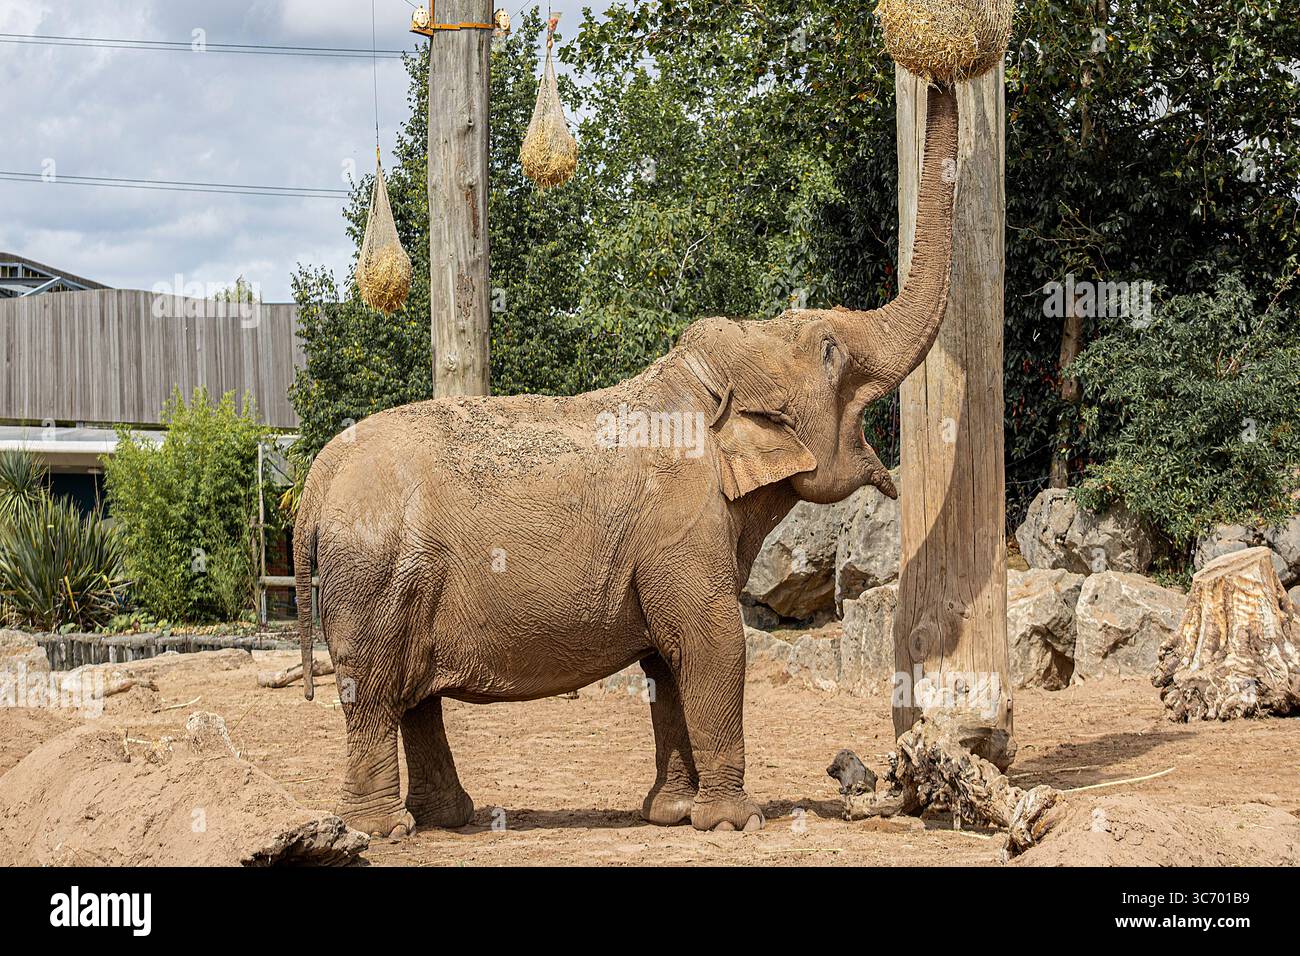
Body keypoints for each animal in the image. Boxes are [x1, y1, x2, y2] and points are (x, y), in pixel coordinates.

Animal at [294, 82, 959, 838]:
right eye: (832, 352)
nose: (940, 82)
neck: (700, 384)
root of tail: (316, 482)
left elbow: (666, 664)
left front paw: (670, 814)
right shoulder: (681, 525)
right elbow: (714, 645)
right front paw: (735, 821)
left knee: (412, 698)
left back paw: (450, 819)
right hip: (375, 576)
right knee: (376, 694)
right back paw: (383, 830)